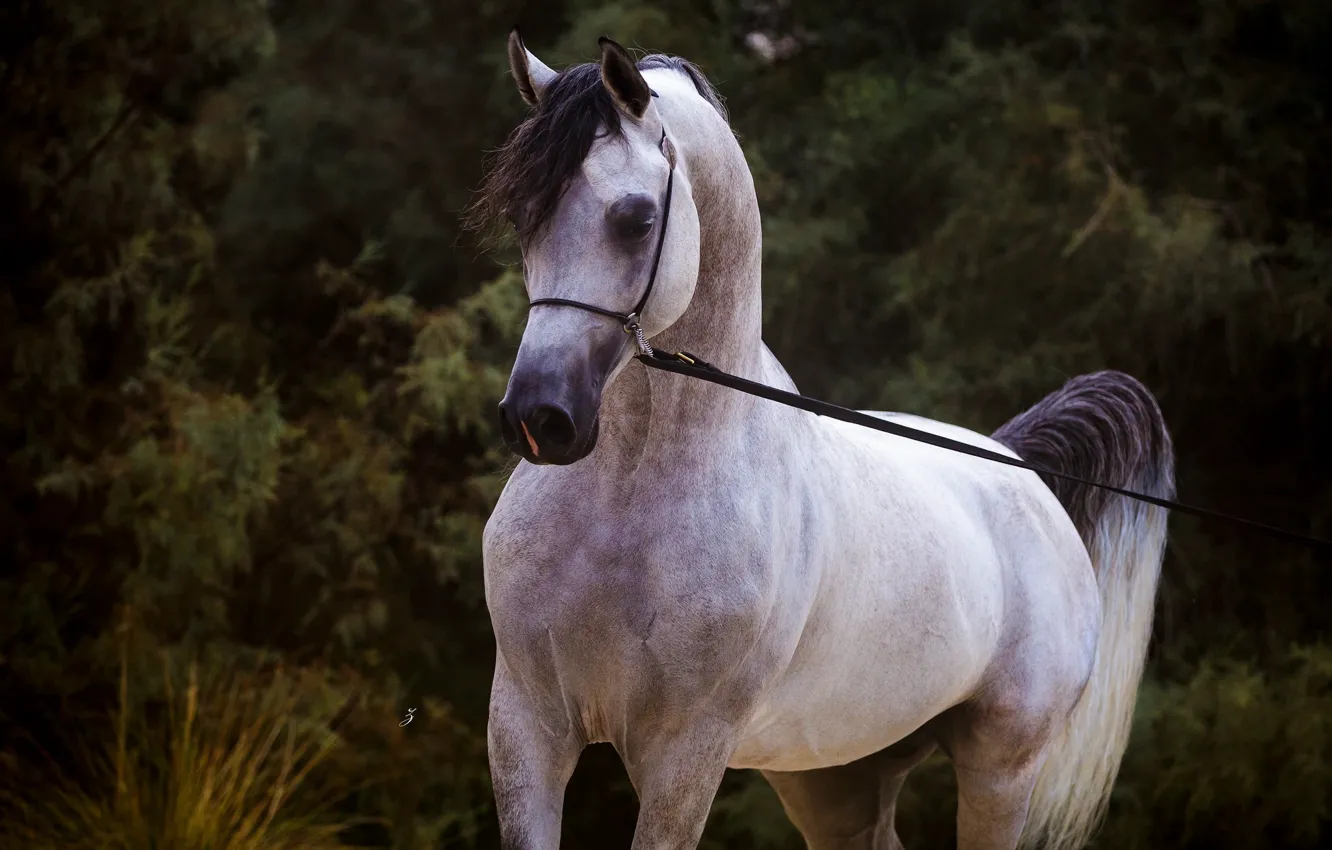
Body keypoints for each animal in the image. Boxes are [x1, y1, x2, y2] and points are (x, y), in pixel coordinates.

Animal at [471, 31, 1174, 850]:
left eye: (637, 219)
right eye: (525, 220)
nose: (538, 416)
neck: (626, 501)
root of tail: (1017, 465)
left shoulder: (684, 754)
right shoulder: (527, 727)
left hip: (1002, 768)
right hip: (836, 776)